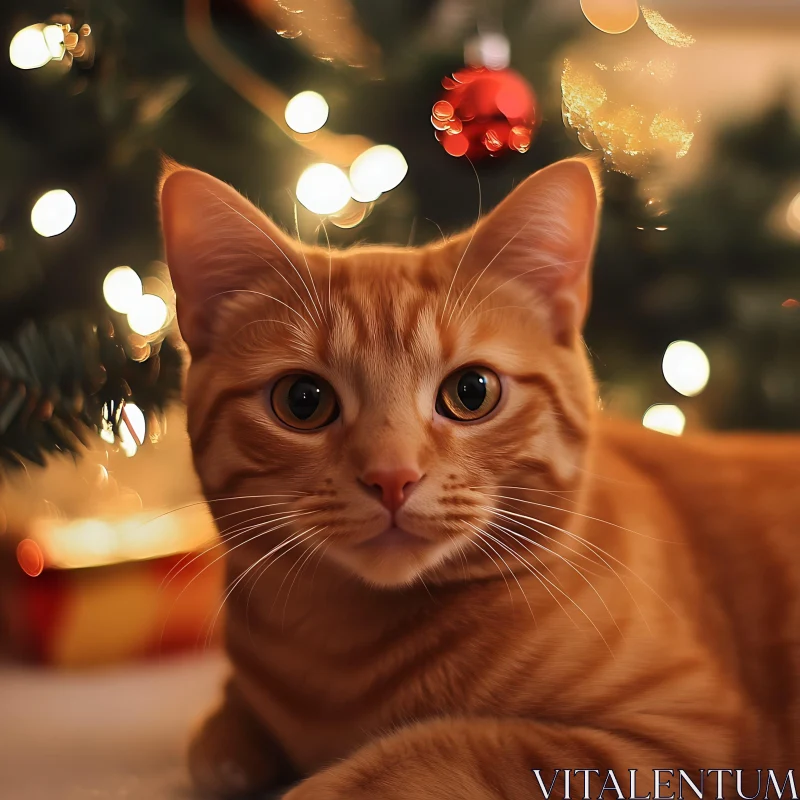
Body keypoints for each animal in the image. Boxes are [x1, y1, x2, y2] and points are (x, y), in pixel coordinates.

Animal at [159, 158, 800, 800]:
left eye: (471, 392)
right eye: (302, 400)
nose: (392, 477)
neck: (345, 663)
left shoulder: (689, 740)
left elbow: (433, 749)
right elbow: (213, 744)